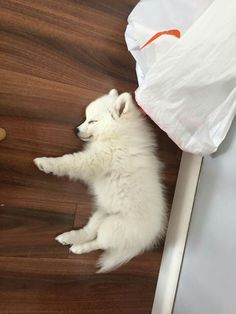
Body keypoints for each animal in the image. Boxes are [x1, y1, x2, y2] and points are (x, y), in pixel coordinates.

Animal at [34, 90, 167, 272]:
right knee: (90, 231)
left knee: (99, 242)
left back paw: (79, 248)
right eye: (85, 118)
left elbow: (68, 162)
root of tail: (148, 238)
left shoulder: (93, 161)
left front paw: (46, 163)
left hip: (113, 227)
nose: (76, 130)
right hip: (103, 213)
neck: (118, 135)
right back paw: (69, 237)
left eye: (92, 121)